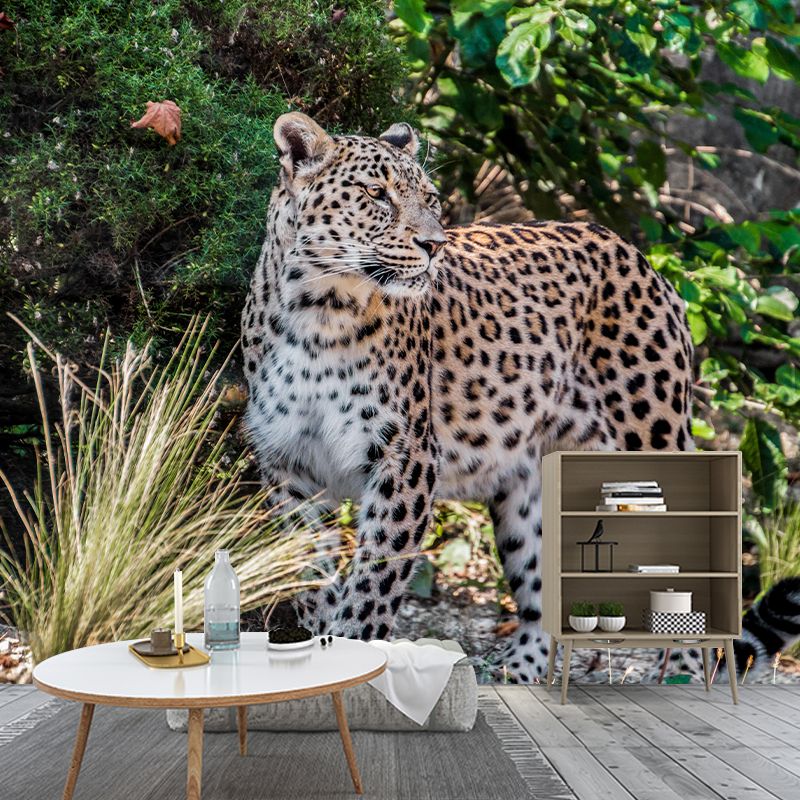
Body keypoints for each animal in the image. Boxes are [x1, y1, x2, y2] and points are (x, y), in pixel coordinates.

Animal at [241, 112, 696, 683]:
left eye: (430, 198)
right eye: (376, 194)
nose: (434, 244)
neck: (317, 310)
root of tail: (640, 257)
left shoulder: (405, 459)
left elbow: (373, 583)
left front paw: (358, 653)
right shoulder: (289, 465)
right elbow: (308, 574)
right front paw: (322, 645)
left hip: (650, 441)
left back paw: (684, 672)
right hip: (528, 483)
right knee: (541, 582)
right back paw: (517, 672)